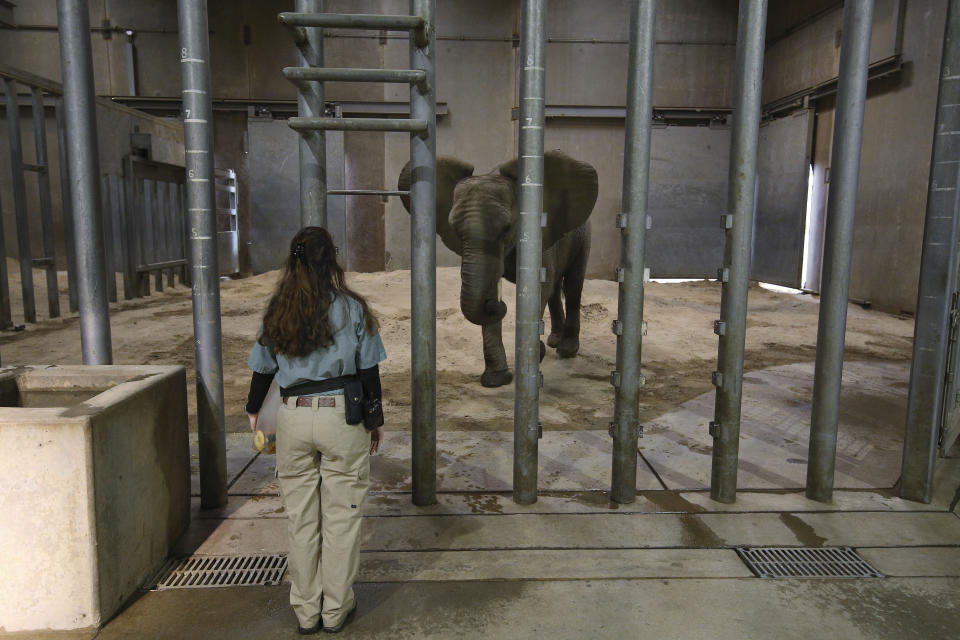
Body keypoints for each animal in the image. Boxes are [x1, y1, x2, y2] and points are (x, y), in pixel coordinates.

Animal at [396, 150, 592, 388]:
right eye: (454, 229)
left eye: (507, 228)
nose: (496, 304)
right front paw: (496, 379)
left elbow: (540, 288)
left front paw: (536, 354)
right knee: (555, 289)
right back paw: (553, 341)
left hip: (582, 235)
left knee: (572, 285)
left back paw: (566, 349)